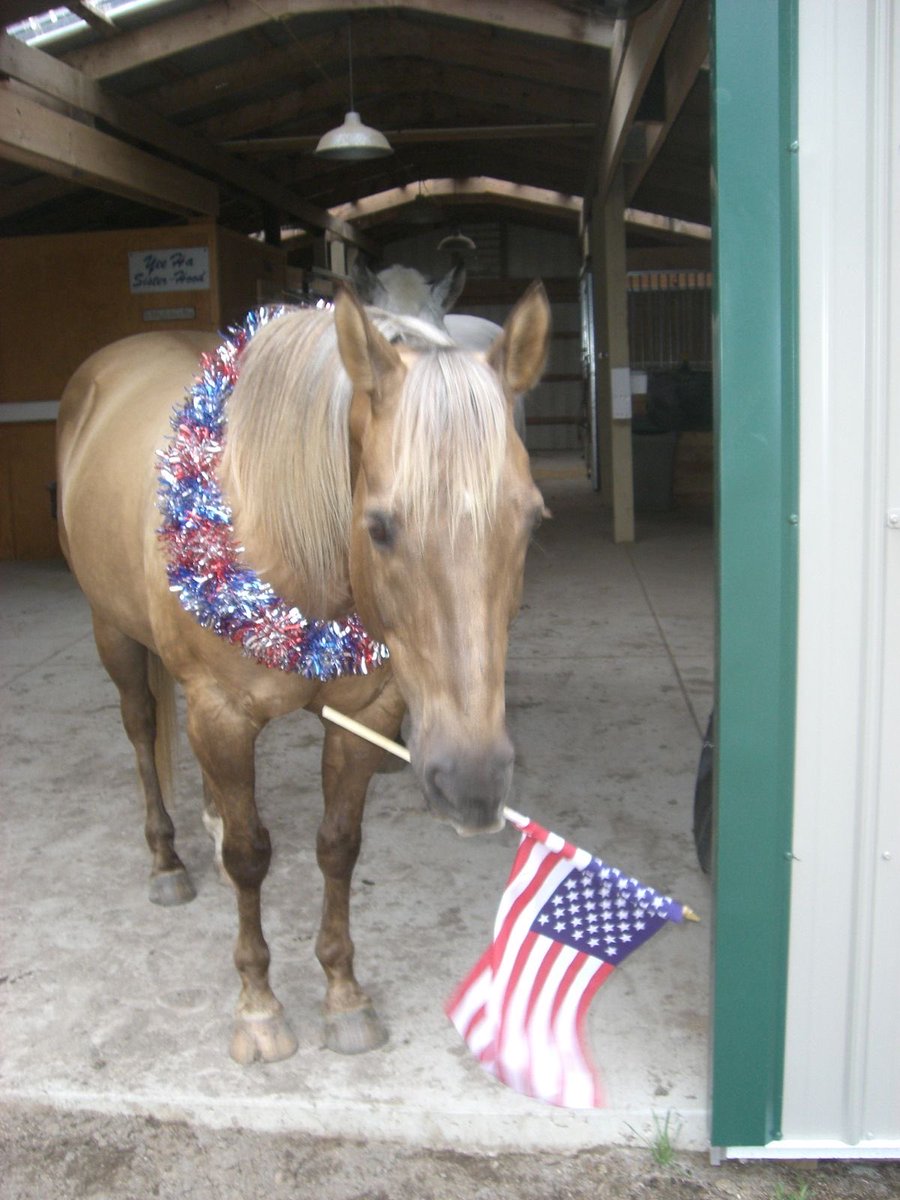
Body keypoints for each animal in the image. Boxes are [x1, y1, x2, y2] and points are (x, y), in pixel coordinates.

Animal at [56, 283, 551, 1066]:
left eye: (532, 519)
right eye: (379, 526)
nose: (472, 786)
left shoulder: (365, 717)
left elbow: (337, 847)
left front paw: (345, 996)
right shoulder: (224, 714)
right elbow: (253, 855)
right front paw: (259, 1007)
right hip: (116, 635)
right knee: (141, 730)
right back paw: (167, 862)